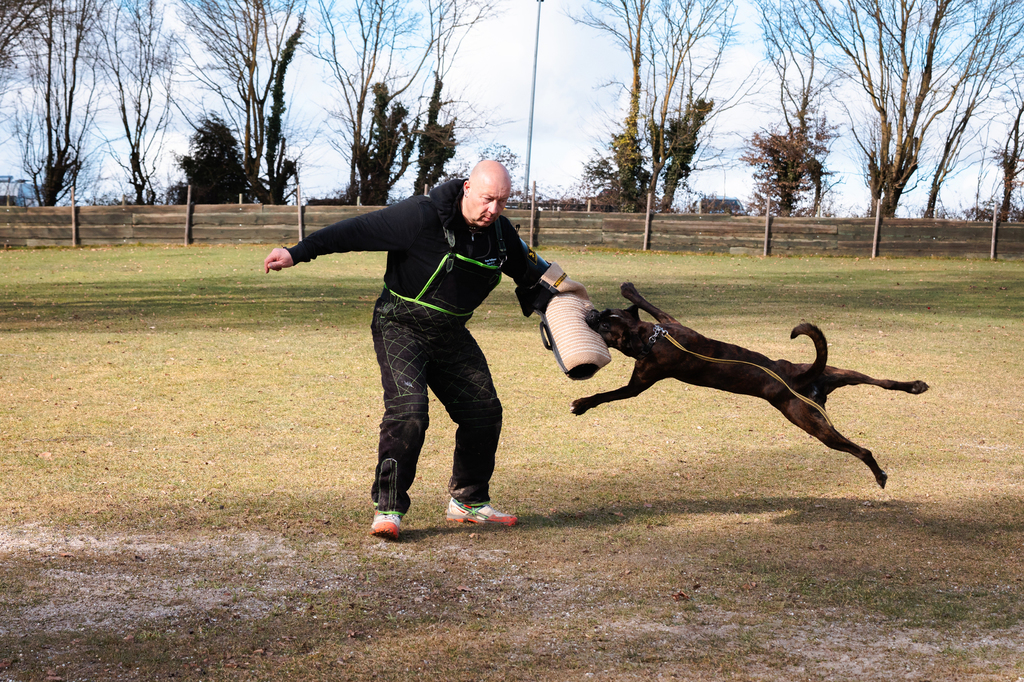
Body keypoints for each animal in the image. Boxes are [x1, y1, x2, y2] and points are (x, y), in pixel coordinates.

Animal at [571, 283, 929, 488]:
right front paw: (629, 288)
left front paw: (582, 404)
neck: (652, 338)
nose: (592, 313)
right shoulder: (670, 322)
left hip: (811, 423)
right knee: (882, 381)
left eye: (605, 327)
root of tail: (800, 380)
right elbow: (650, 304)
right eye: (605, 313)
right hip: (839, 374)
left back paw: (880, 475)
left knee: (862, 449)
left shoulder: (641, 381)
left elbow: (607, 394)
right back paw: (915, 386)